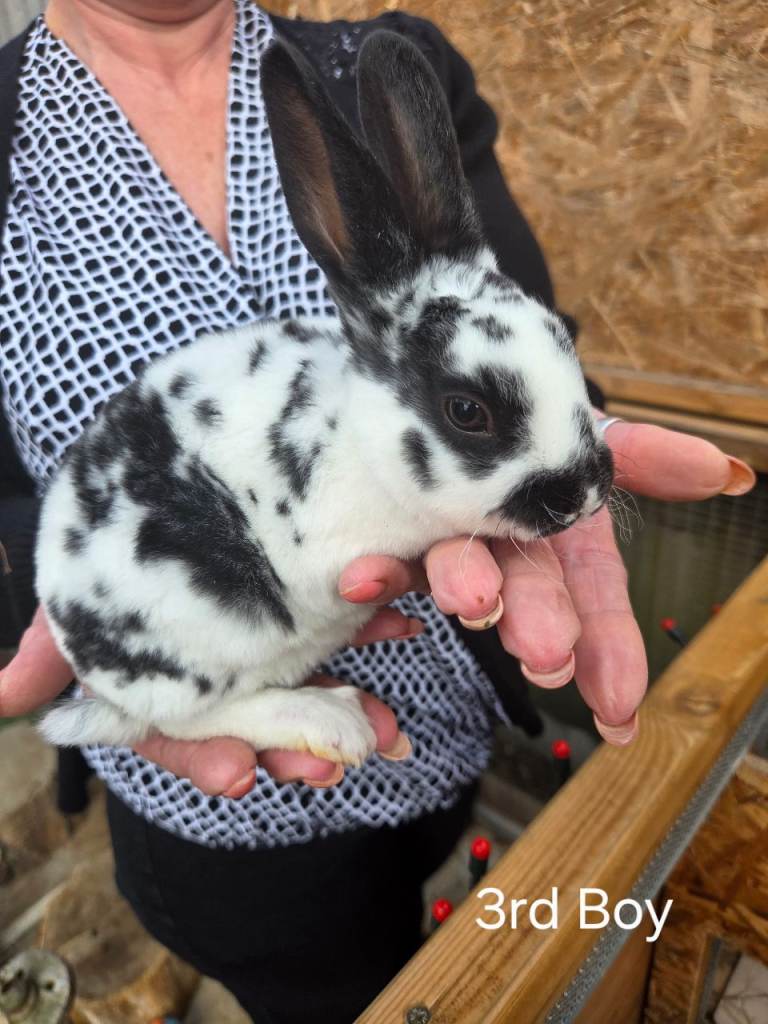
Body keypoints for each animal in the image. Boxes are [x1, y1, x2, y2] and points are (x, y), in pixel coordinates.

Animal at [36, 30, 613, 766]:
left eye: (564, 335)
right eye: (467, 411)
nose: (585, 492)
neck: (356, 440)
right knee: (186, 721)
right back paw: (332, 721)